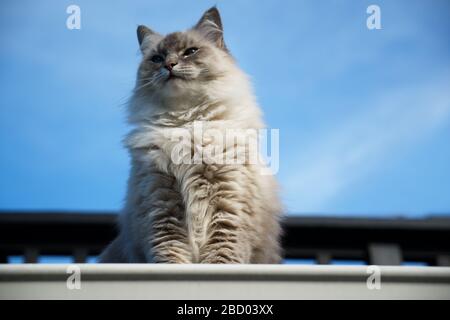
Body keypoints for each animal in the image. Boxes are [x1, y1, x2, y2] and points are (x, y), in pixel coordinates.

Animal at [99, 7, 284, 264]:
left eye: (190, 52)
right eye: (157, 59)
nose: (170, 65)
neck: (186, 124)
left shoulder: (228, 202)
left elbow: (221, 256)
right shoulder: (161, 203)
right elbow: (170, 255)